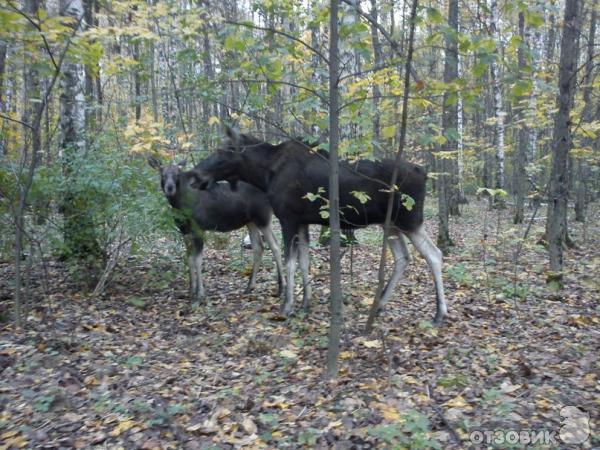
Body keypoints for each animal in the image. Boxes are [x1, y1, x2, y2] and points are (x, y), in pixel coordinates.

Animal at [147, 157, 284, 302]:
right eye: (162, 174)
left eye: (177, 174)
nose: (170, 188)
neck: (180, 205)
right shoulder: (184, 231)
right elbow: (189, 259)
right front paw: (191, 291)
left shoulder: (198, 228)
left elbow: (197, 260)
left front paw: (200, 294)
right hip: (250, 221)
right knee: (258, 247)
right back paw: (249, 287)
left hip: (263, 217)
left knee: (275, 245)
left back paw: (281, 288)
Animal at [190, 128, 448, 326]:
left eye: (223, 151)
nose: (195, 175)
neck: (264, 174)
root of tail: (424, 173)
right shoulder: (303, 221)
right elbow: (305, 262)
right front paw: (306, 303)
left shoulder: (288, 218)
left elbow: (290, 262)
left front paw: (287, 307)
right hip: (391, 225)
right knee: (403, 257)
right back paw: (380, 304)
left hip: (410, 220)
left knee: (434, 254)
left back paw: (439, 314)